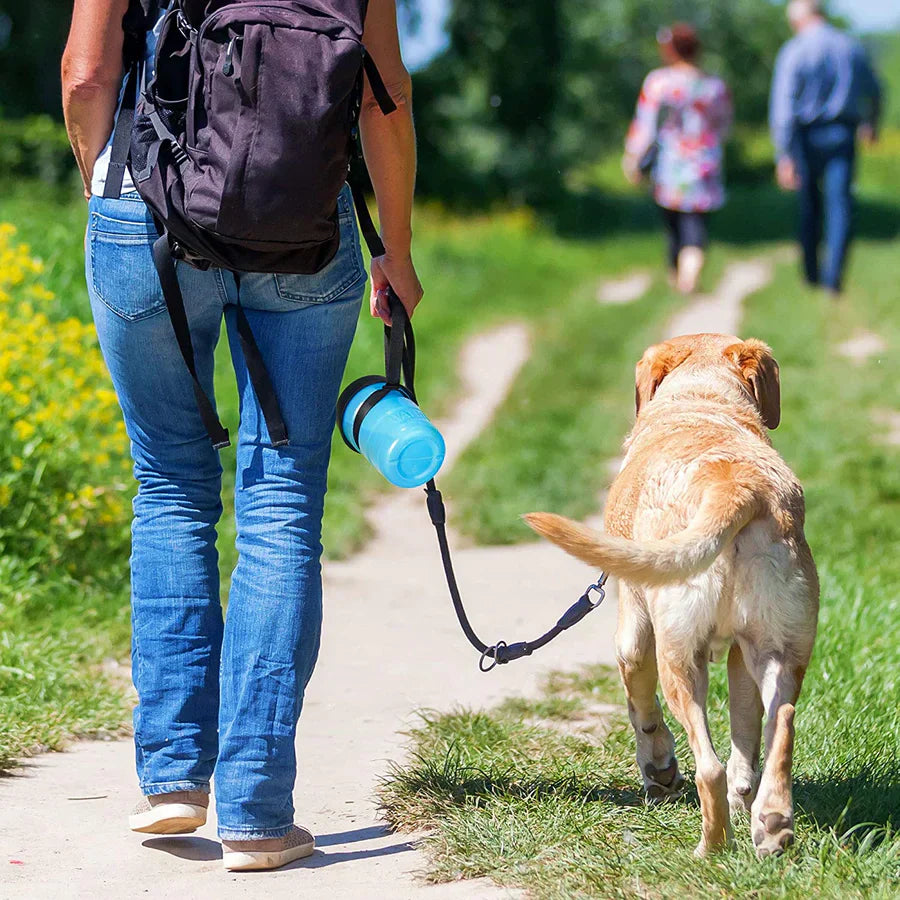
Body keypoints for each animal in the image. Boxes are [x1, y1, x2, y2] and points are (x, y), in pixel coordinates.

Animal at [524, 336, 820, 856]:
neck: (702, 399)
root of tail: (735, 485)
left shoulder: (634, 636)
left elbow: (641, 706)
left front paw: (658, 769)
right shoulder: (741, 657)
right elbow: (746, 733)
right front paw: (748, 801)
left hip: (678, 655)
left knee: (709, 768)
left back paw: (710, 848)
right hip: (779, 651)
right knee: (780, 726)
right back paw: (771, 824)